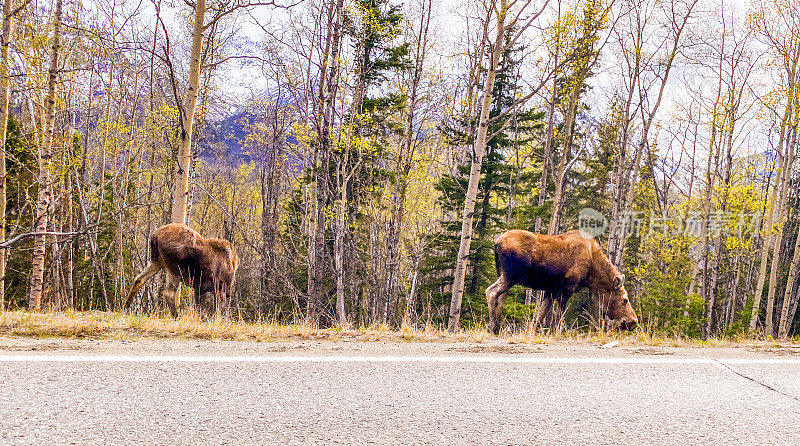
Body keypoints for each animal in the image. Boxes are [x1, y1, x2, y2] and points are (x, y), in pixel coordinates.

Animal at [484, 230, 640, 334]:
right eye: (625, 300)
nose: (633, 322)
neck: (592, 275)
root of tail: (496, 242)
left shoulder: (551, 289)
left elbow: (541, 314)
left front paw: (536, 331)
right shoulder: (567, 287)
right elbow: (559, 315)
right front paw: (558, 331)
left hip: (504, 274)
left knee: (500, 299)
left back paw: (497, 326)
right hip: (511, 275)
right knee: (491, 291)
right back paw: (493, 328)